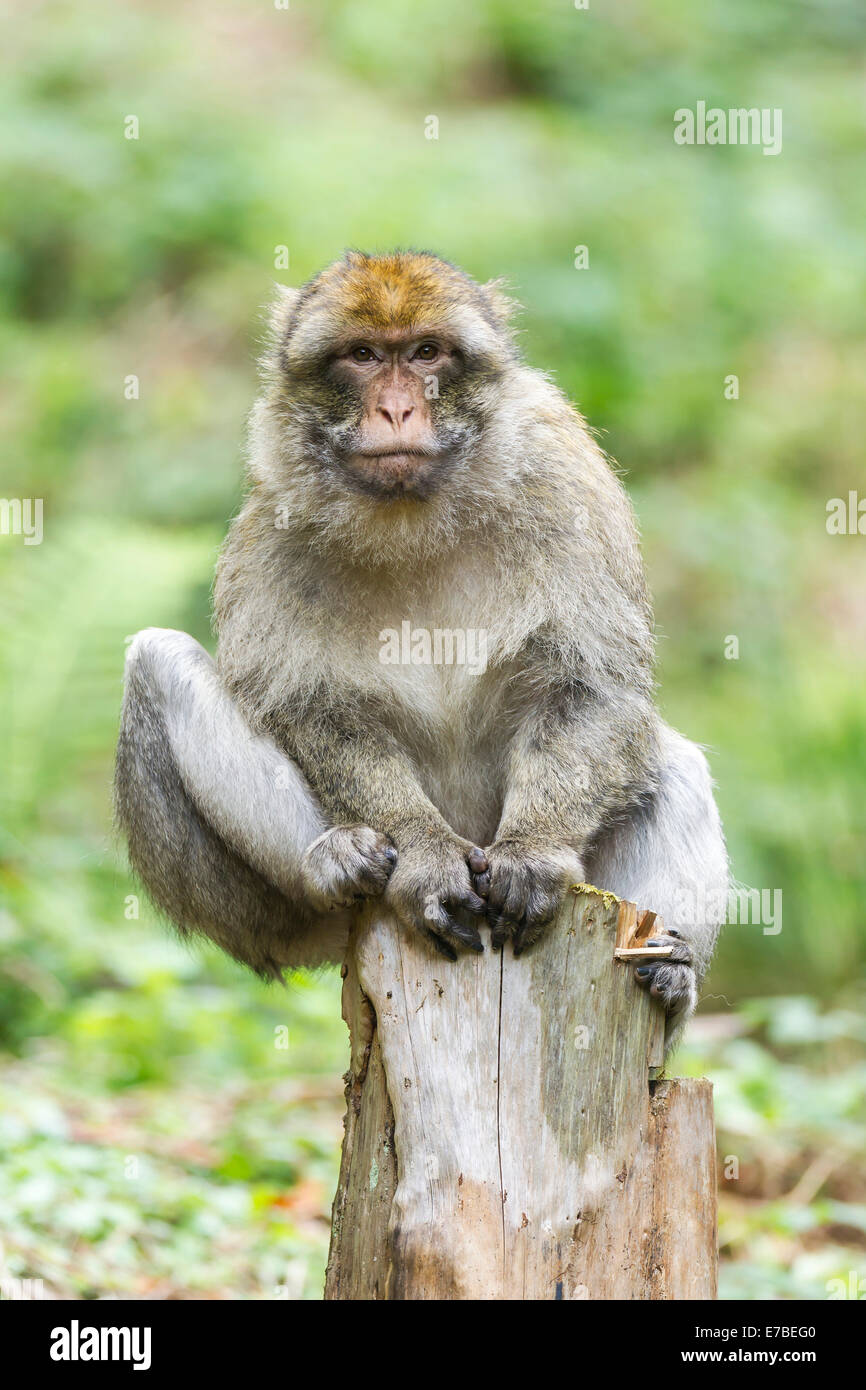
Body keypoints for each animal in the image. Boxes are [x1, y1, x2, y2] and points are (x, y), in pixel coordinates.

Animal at [114, 250, 729, 1050]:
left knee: (671, 762)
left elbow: (593, 684)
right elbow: (311, 705)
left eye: (427, 352)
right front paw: (423, 856)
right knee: (155, 663)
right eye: (363, 356)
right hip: (260, 920)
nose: (397, 411)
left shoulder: (564, 479)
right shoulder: (272, 515)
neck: (416, 511)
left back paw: (672, 979)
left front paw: (534, 851)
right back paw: (336, 864)